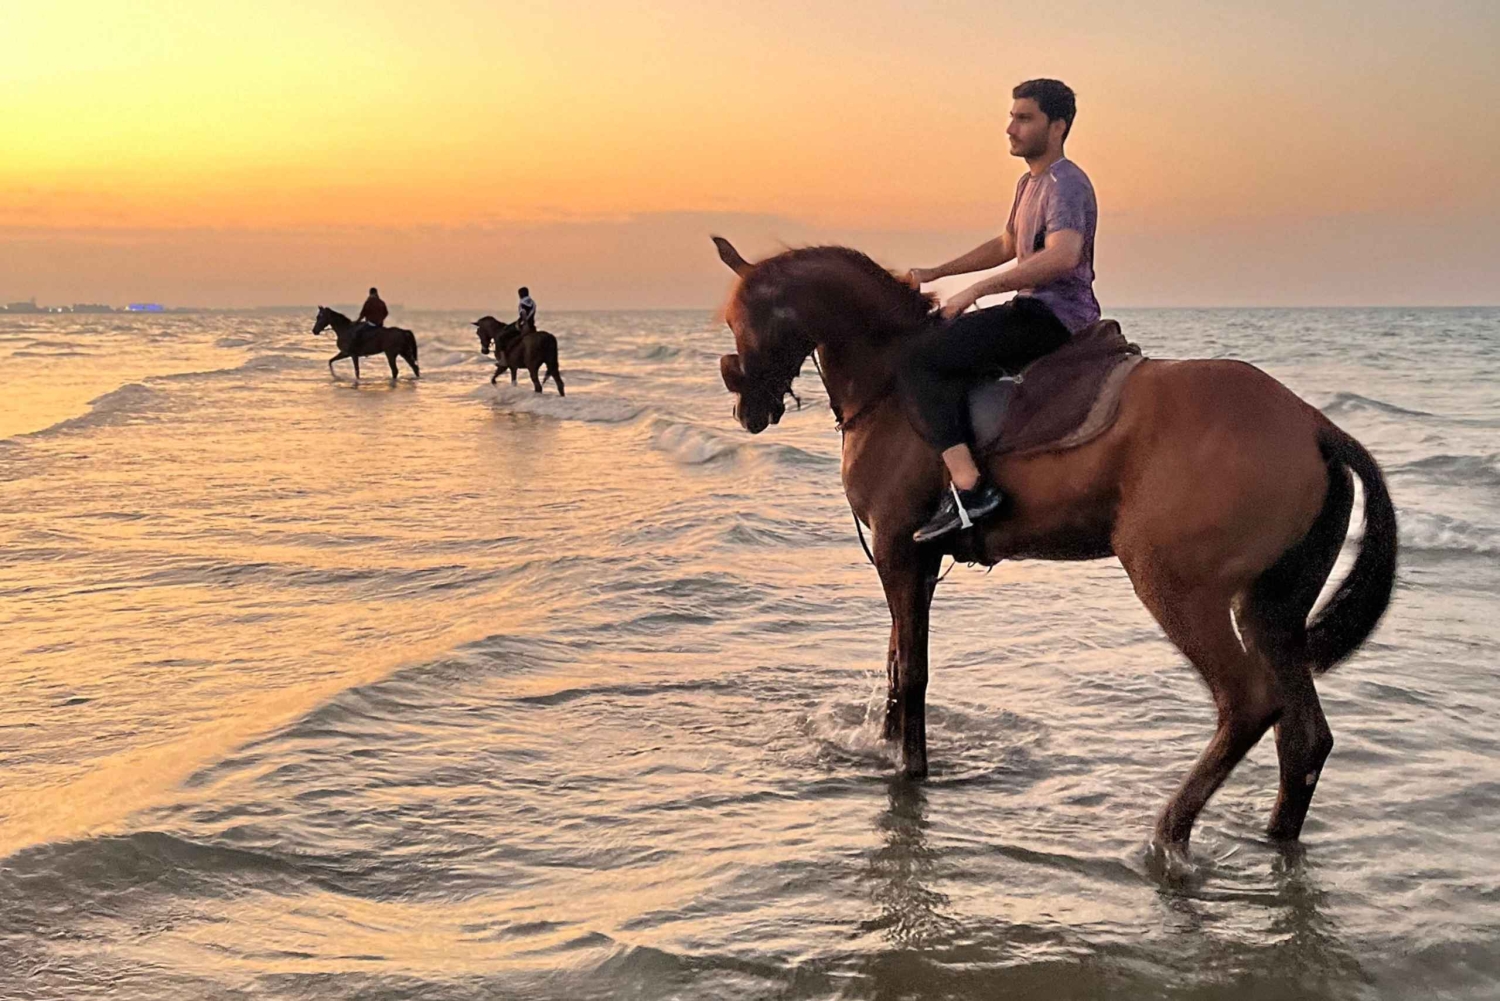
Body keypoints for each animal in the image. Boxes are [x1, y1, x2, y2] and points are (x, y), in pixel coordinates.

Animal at [710, 237, 1397, 865]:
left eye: (745, 322)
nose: (748, 409)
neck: (890, 383)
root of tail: (1312, 424)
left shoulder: (898, 551)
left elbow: (913, 670)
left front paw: (911, 771)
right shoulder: (913, 561)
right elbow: (897, 661)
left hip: (1175, 584)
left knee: (1249, 703)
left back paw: (1167, 835)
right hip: (1271, 606)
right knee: (1303, 737)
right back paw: (1273, 841)